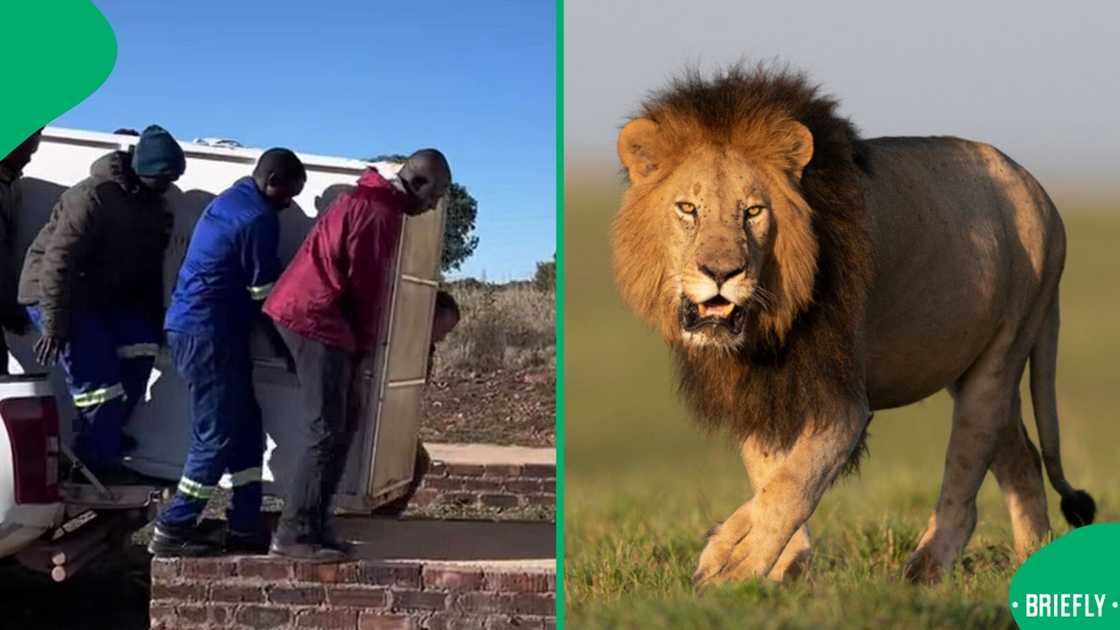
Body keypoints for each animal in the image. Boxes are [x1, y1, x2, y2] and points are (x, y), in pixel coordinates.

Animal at [611, 65, 1096, 586]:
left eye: (753, 212)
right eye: (687, 209)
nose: (722, 273)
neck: (766, 325)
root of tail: (1040, 192)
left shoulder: (844, 401)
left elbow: (794, 482)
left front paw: (732, 561)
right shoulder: (755, 387)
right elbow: (769, 474)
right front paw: (784, 564)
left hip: (1001, 356)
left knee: (966, 475)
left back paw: (926, 567)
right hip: (975, 370)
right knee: (1022, 459)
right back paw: (1033, 559)